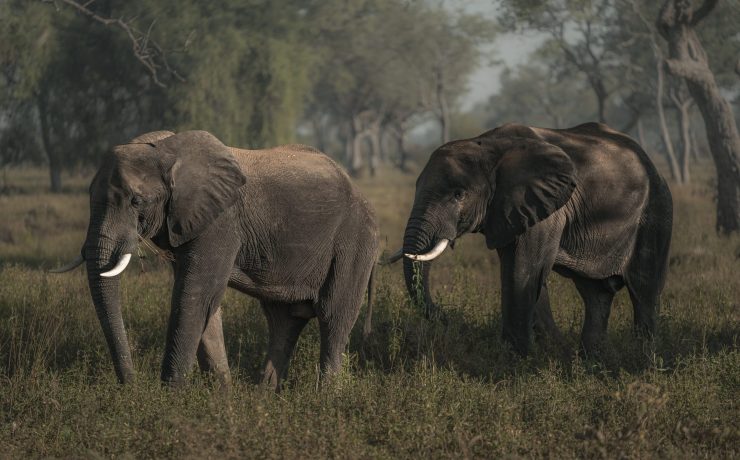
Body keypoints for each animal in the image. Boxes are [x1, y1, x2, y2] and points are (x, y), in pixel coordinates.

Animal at [53, 130, 379, 388]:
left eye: (136, 201)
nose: (131, 388)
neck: (167, 150)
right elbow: (206, 305)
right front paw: (220, 401)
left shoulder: (220, 222)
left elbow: (194, 297)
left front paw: (169, 400)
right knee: (283, 321)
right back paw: (264, 400)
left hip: (354, 242)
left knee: (333, 317)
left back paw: (325, 398)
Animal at [387, 122, 673, 357]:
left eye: (458, 194)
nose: (451, 318)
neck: (487, 145)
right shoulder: (507, 211)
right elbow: (516, 271)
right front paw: (536, 353)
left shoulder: (546, 208)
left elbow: (525, 271)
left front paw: (517, 359)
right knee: (596, 294)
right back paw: (592, 359)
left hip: (655, 211)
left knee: (644, 290)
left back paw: (642, 356)